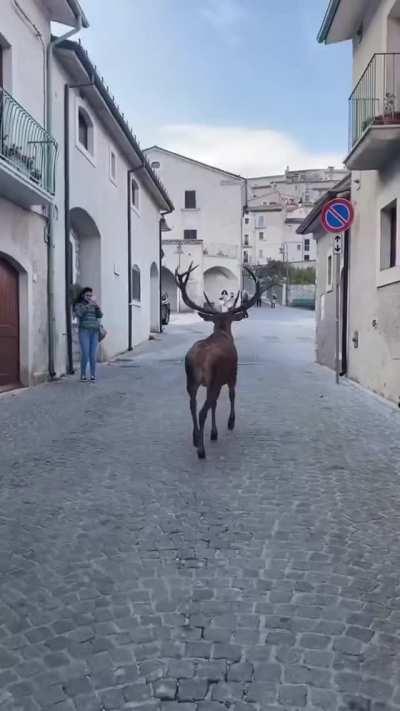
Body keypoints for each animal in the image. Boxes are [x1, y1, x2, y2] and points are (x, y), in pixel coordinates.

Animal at [175, 264, 261, 459]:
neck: (222, 333)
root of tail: (197, 360)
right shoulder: (232, 375)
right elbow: (231, 396)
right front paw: (228, 424)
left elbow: (215, 404)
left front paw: (213, 433)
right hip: (213, 379)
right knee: (202, 410)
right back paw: (201, 450)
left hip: (191, 380)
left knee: (192, 405)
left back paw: (195, 438)